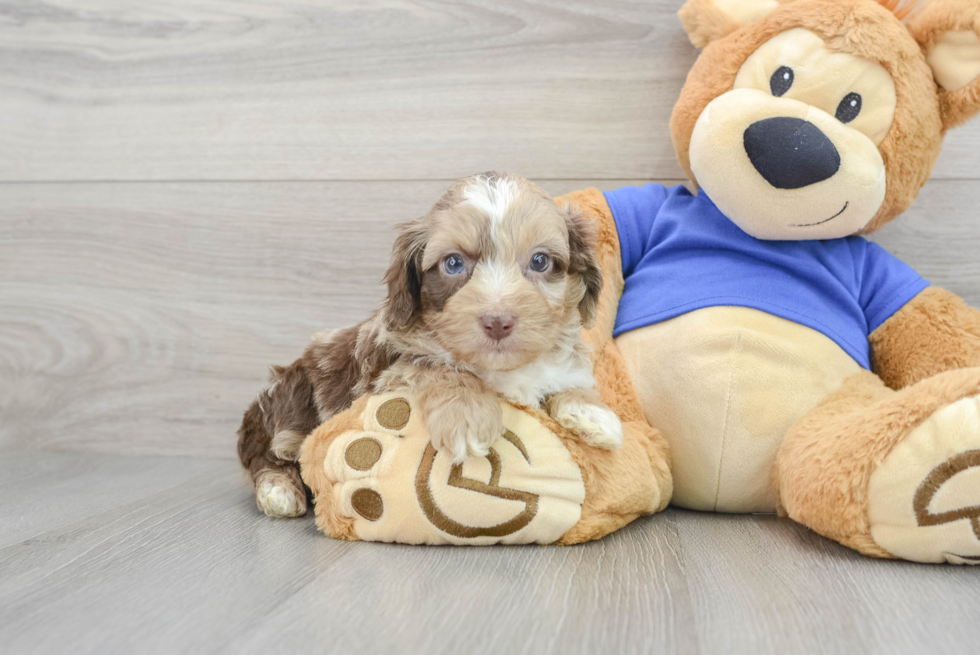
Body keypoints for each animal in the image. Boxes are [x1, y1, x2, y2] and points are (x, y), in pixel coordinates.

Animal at [237, 172, 620, 520]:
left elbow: (565, 381)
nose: (498, 321)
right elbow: (437, 366)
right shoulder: (389, 368)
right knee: (267, 454)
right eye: (453, 263)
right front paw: (469, 418)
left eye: (540, 261)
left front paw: (592, 413)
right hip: (290, 408)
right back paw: (279, 491)